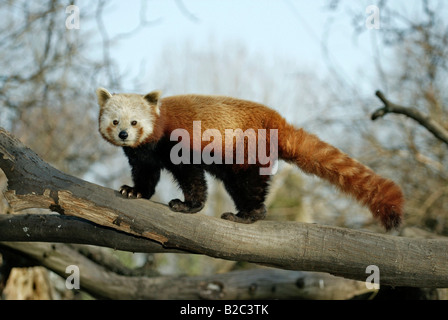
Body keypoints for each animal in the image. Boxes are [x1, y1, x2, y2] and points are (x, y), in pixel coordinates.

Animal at [96, 88, 404, 230]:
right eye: (115, 121)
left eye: (135, 122)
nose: (124, 134)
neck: (152, 142)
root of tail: (279, 122)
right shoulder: (143, 154)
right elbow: (145, 174)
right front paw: (134, 191)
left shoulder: (178, 143)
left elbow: (192, 178)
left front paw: (188, 205)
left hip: (246, 150)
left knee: (250, 185)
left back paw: (247, 214)